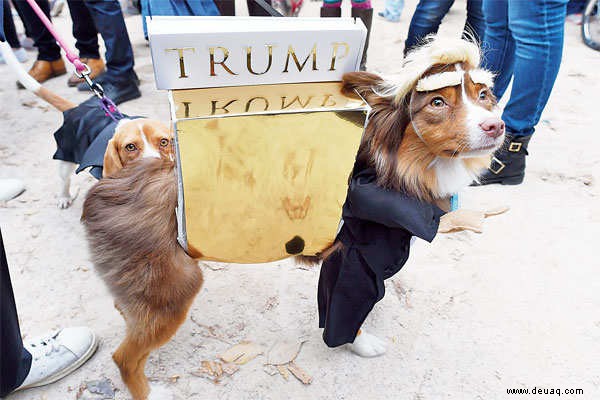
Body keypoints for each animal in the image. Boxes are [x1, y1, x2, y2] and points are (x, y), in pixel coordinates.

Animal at [78, 36, 502, 398]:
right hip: (175, 289)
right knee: (124, 358)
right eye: (436, 103)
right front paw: (360, 342)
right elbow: (347, 312)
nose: (496, 126)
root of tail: (111, 184)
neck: (397, 167)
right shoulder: (356, 264)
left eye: (484, 95)